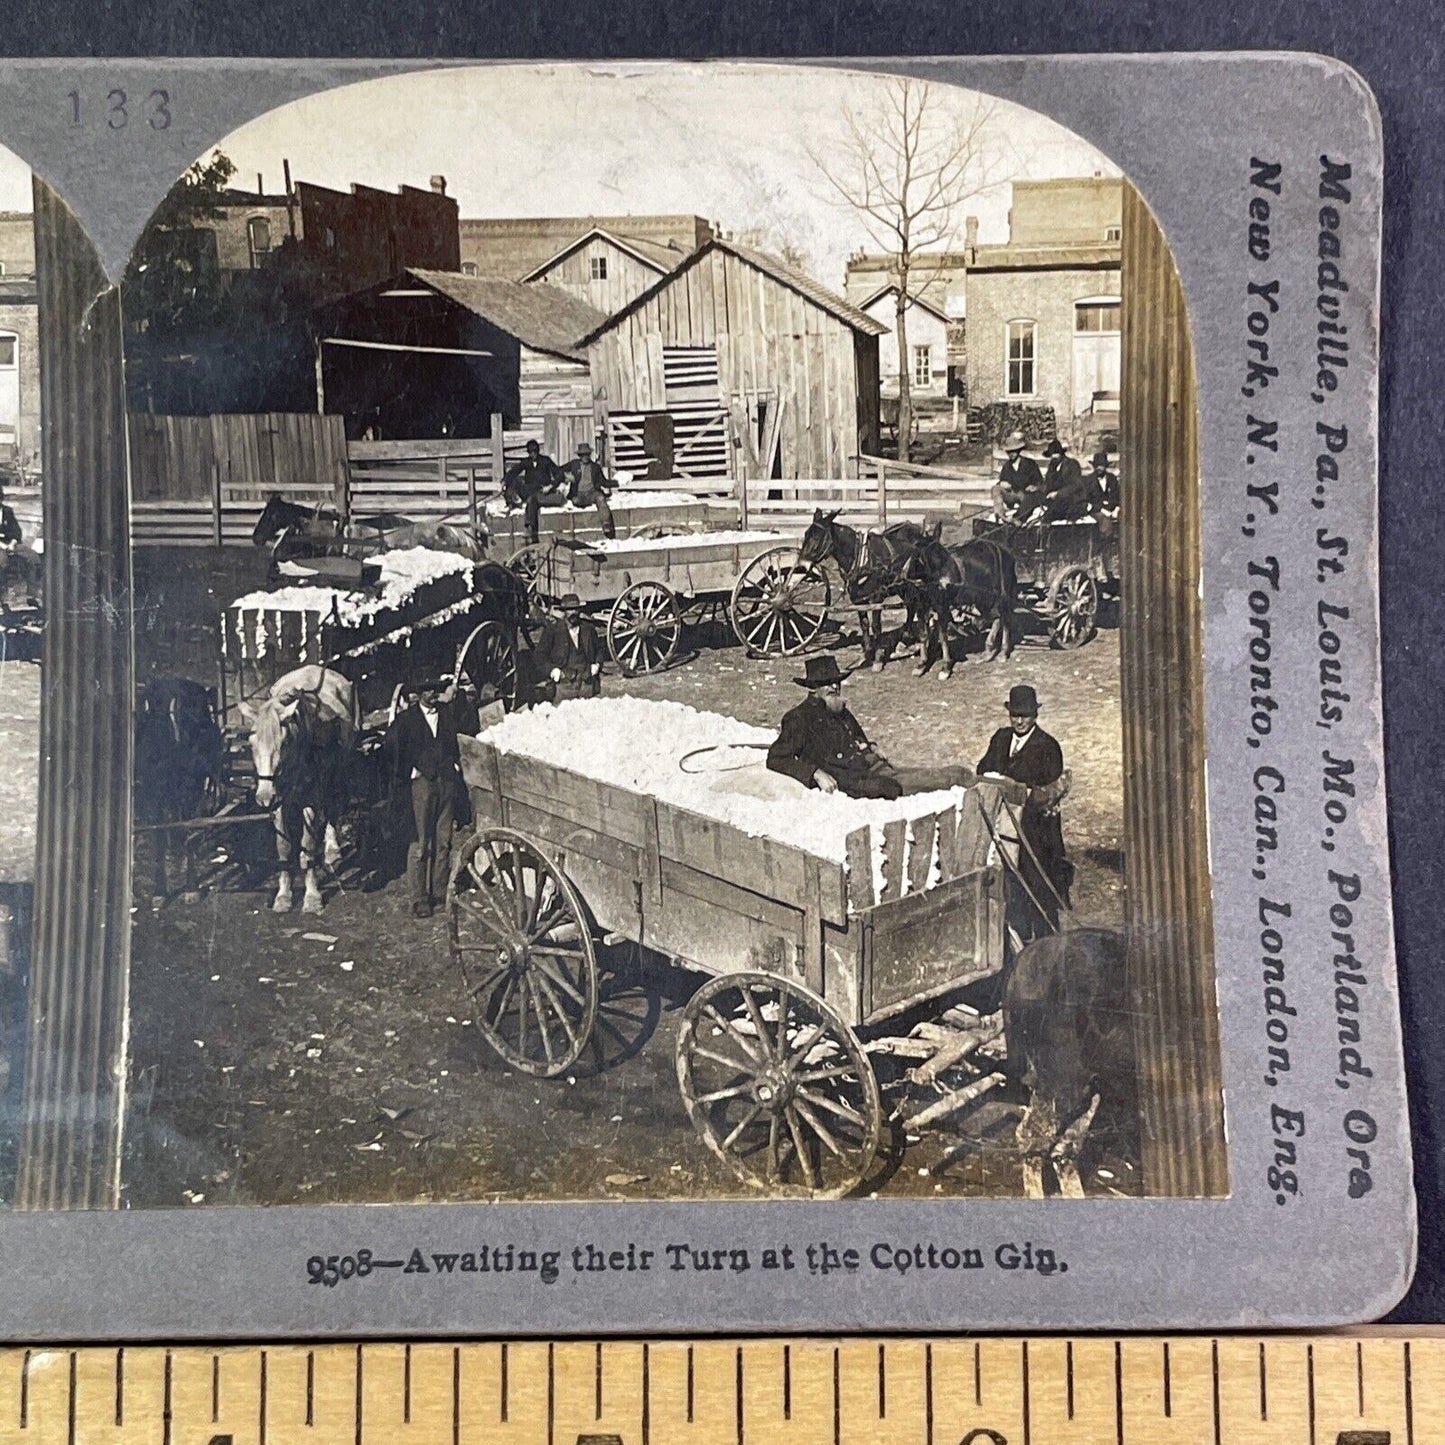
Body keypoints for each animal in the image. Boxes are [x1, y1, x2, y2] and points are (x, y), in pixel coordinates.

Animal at [239, 664, 358, 913]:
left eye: (284, 743)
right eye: (251, 744)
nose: (264, 796)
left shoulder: (310, 801)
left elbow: (308, 845)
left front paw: (312, 897)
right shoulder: (279, 804)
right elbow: (284, 847)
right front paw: (283, 895)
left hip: (337, 773)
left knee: (332, 808)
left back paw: (332, 849)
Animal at [797, 508, 930, 670]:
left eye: (817, 537)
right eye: (805, 534)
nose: (802, 565)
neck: (862, 560)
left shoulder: (876, 598)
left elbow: (876, 626)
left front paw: (878, 660)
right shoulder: (858, 599)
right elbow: (864, 624)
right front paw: (867, 655)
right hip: (903, 587)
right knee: (911, 606)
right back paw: (907, 635)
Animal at [901, 534, 1017, 679]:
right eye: (915, 555)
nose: (945, 584)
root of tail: (1004, 551)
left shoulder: (942, 607)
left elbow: (943, 638)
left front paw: (945, 667)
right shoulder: (922, 607)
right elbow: (923, 635)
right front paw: (921, 665)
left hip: (1001, 595)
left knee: (1005, 618)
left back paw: (1003, 652)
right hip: (982, 598)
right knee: (997, 617)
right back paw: (988, 651)